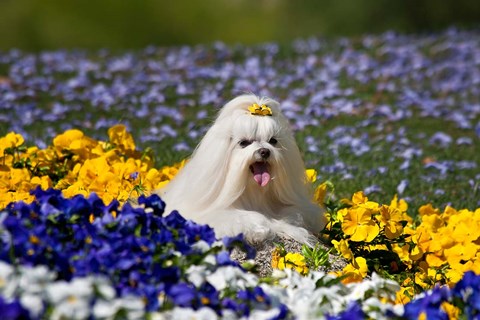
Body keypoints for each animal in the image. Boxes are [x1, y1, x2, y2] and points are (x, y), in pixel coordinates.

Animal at [158, 94, 326, 245]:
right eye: (244, 143)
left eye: (273, 141)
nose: (265, 151)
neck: (253, 192)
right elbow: (243, 218)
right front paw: (259, 231)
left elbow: (293, 214)